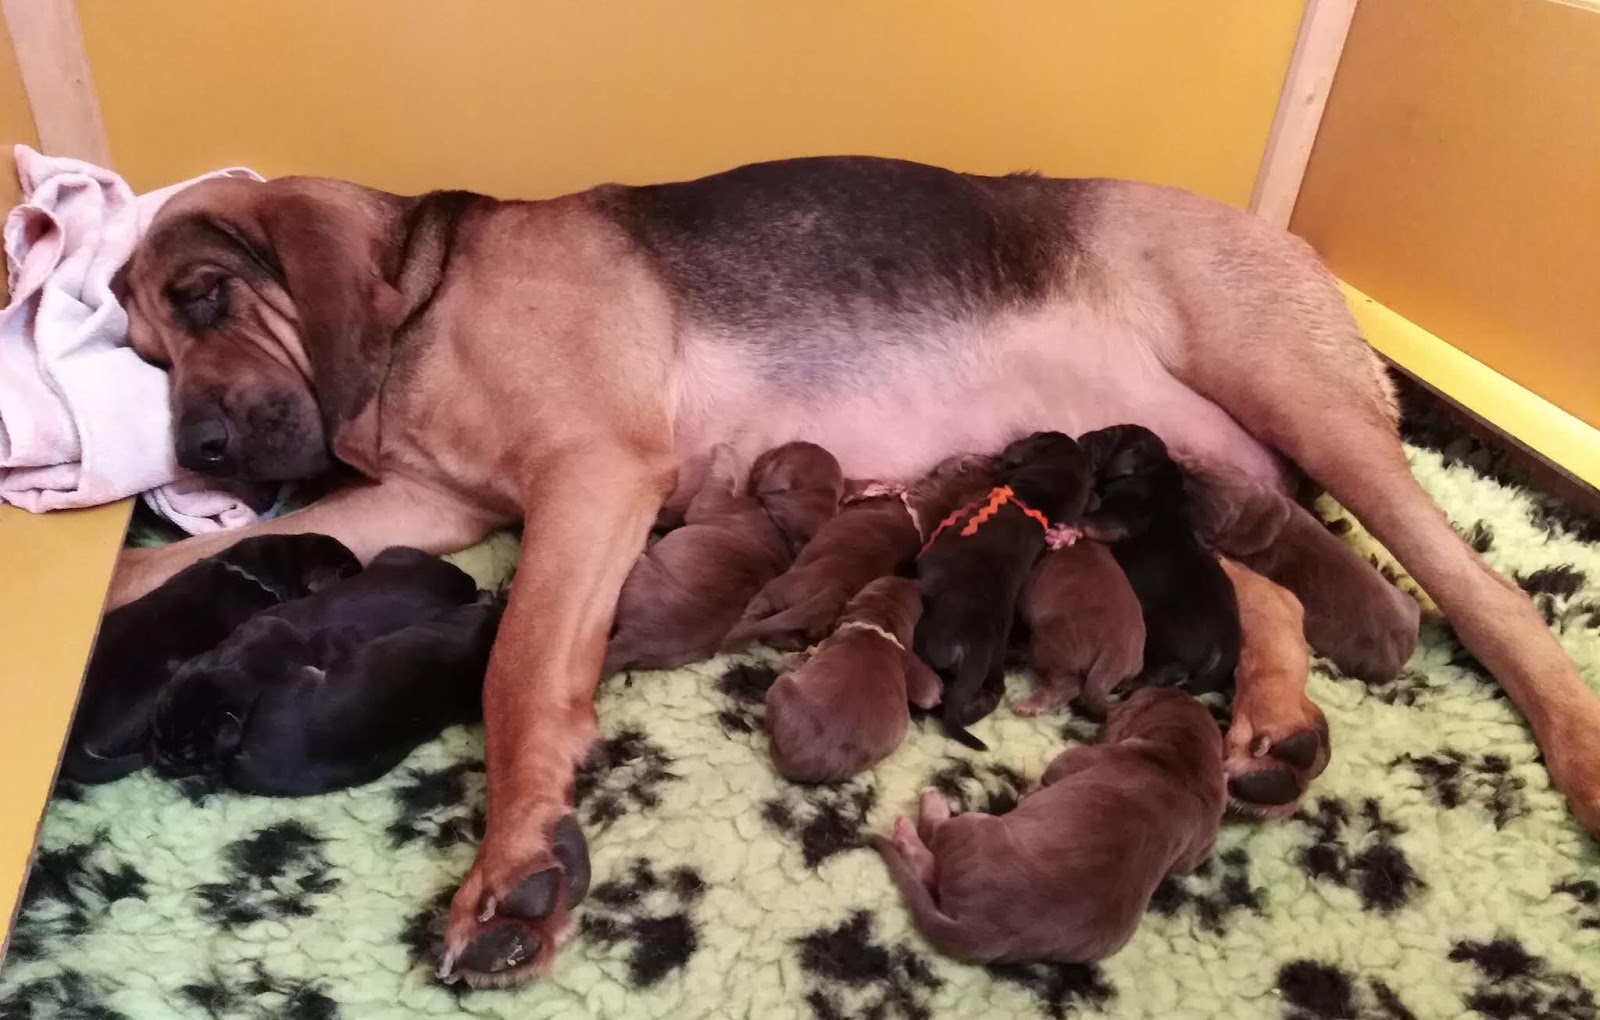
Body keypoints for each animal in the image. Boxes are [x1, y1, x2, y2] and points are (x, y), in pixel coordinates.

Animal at [603, 441, 843, 674]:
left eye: (777, 455)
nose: (766, 452)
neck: (783, 531)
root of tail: (632, 643)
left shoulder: (714, 503)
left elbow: (721, 478)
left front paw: (726, 450)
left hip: (638, 568)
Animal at [871, 686, 1225, 964]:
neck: (1183, 760)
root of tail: (983, 929)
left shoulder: (1075, 761)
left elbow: (1053, 772)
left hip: (975, 828)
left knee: (930, 847)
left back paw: (922, 814)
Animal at [916, 431, 1095, 748]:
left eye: (1035, 437)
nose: (1006, 447)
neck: (1034, 502)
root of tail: (976, 647)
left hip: (929, 640)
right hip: (994, 664)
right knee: (986, 695)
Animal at [1078, 424, 1240, 696]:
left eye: (1110, 435)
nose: (1083, 436)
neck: (1156, 470)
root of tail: (1228, 640)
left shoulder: (1113, 518)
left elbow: (1090, 519)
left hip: (1159, 635)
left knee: (1164, 673)